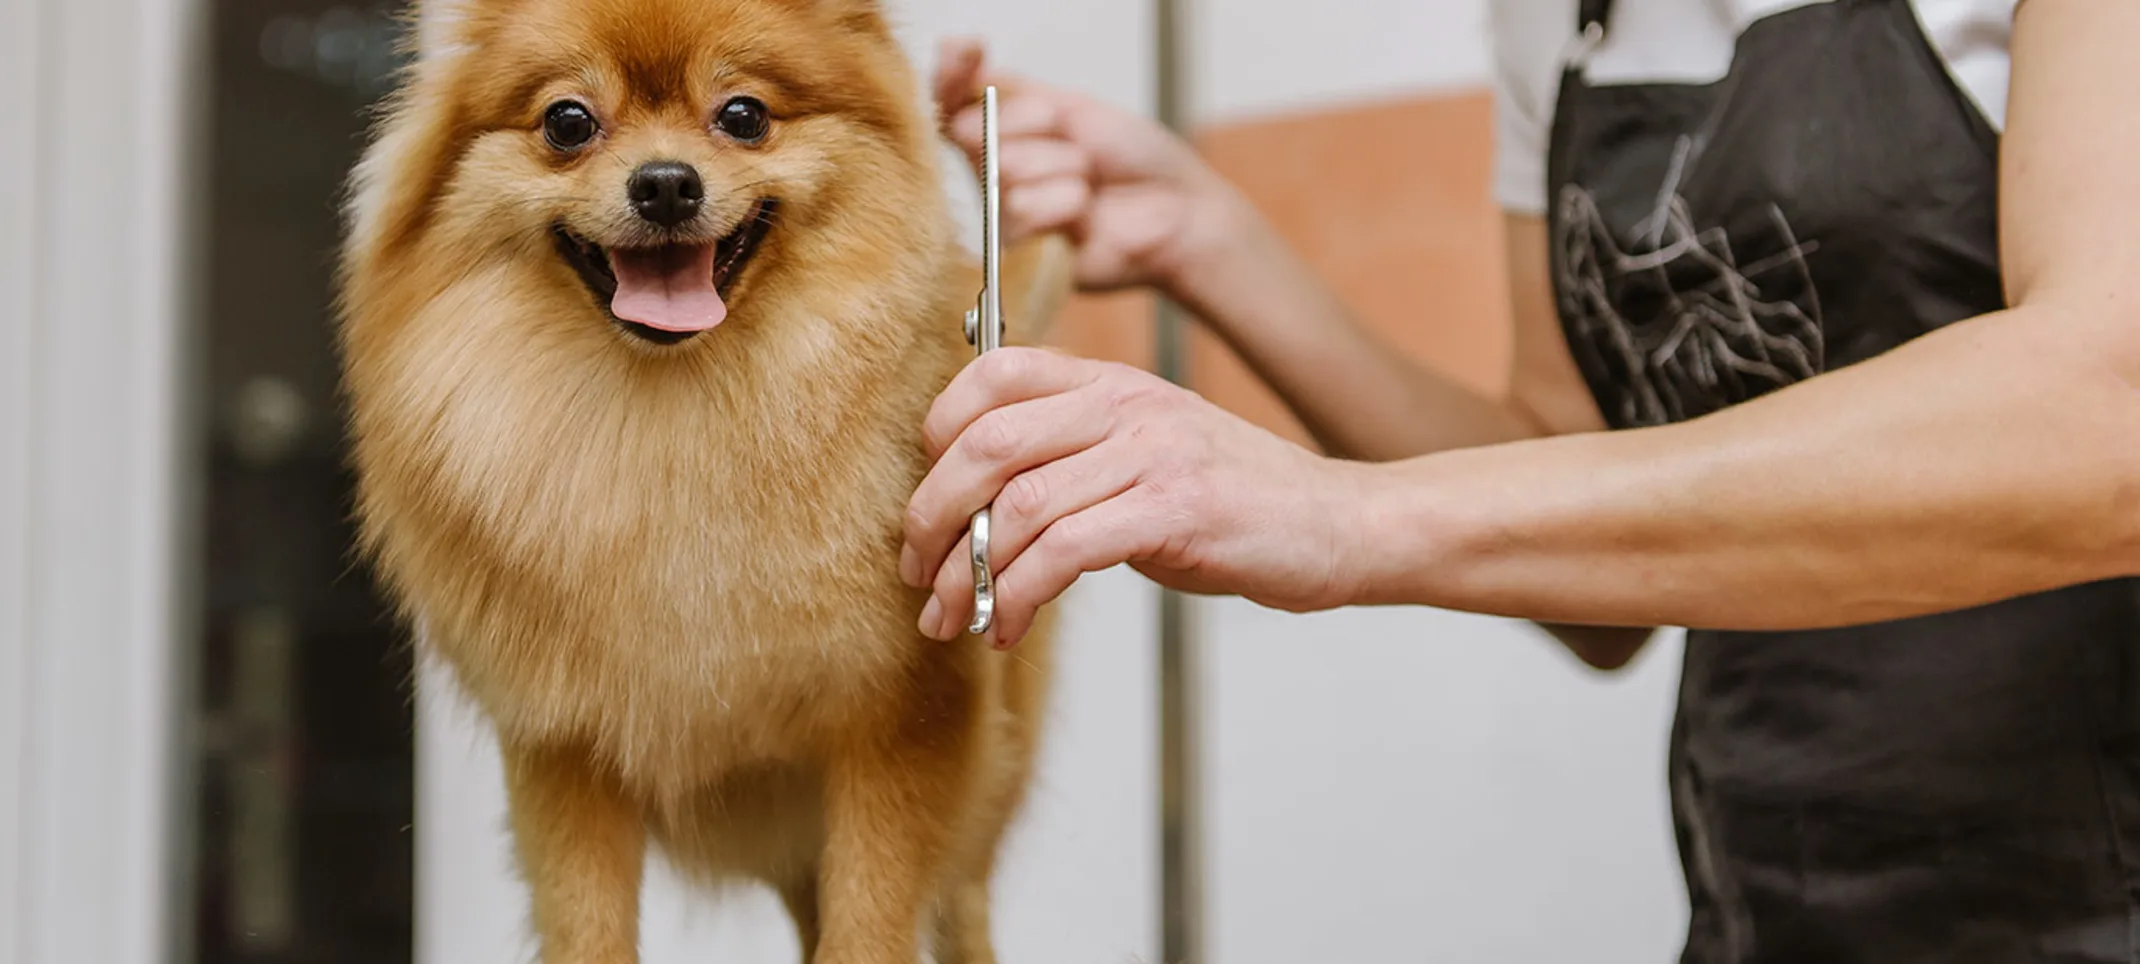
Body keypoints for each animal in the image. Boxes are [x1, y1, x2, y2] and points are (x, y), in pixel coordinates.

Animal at [338, 3, 1070, 959]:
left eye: (744, 116)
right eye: (567, 122)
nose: (664, 184)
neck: (682, 426)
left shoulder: (906, 721)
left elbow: (871, 919)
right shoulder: (563, 753)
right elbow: (588, 927)